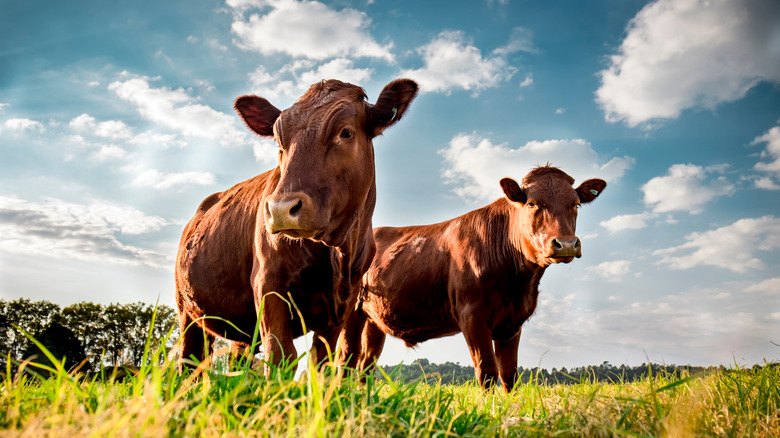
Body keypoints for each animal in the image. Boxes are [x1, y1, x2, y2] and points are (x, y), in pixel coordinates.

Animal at [175, 79, 419, 374]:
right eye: (280, 141)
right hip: (187, 310)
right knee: (190, 360)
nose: (281, 209)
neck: (338, 253)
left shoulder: (342, 305)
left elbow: (322, 362)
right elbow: (281, 355)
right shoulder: (267, 282)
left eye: (346, 133)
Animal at [341, 165, 606, 391]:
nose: (566, 244)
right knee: (347, 359)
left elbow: (509, 374)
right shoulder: (472, 315)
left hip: (374, 319)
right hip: (351, 311)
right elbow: (486, 371)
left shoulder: (513, 321)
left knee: (366, 364)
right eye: (532, 204)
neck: (519, 284)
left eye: (576, 204)